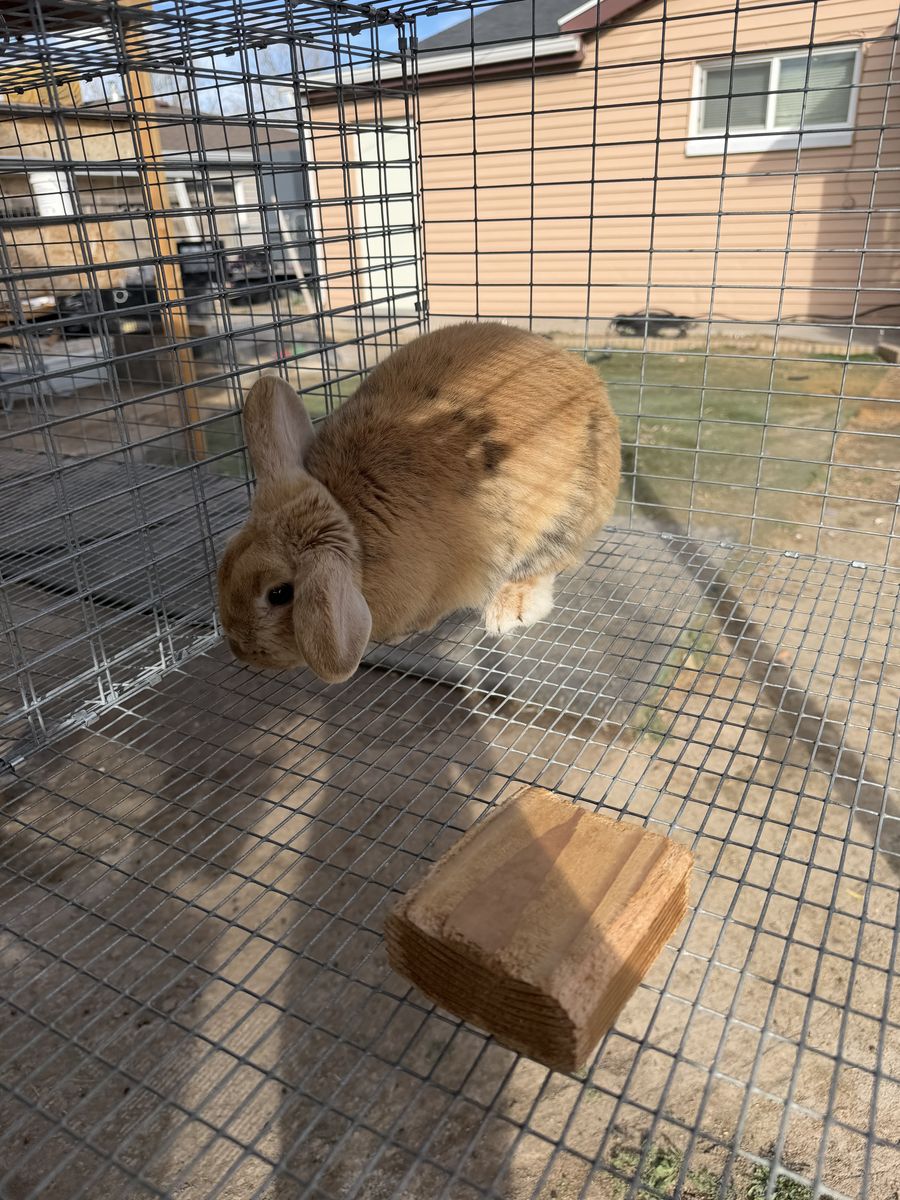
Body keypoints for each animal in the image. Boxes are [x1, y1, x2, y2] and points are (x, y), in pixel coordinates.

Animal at [217, 321, 620, 683]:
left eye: (279, 594)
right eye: (226, 560)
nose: (241, 651)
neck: (355, 526)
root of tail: (591, 382)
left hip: (567, 512)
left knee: (547, 562)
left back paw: (509, 608)